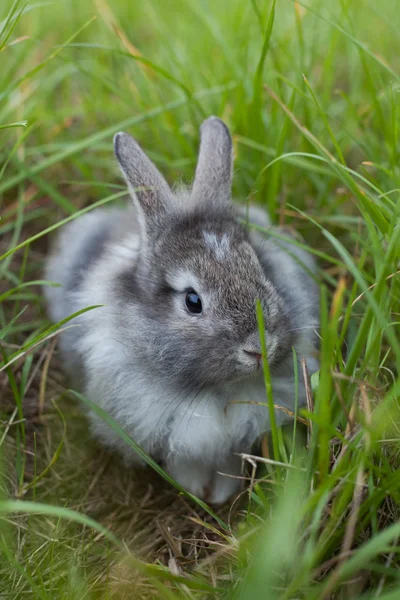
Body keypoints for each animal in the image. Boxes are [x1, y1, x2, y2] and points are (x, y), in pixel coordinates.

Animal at [44, 115, 318, 504]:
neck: (217, 390)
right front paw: (196, 490)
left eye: (259, 269)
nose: (259, 348)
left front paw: (221, 492)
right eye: (192, 301)